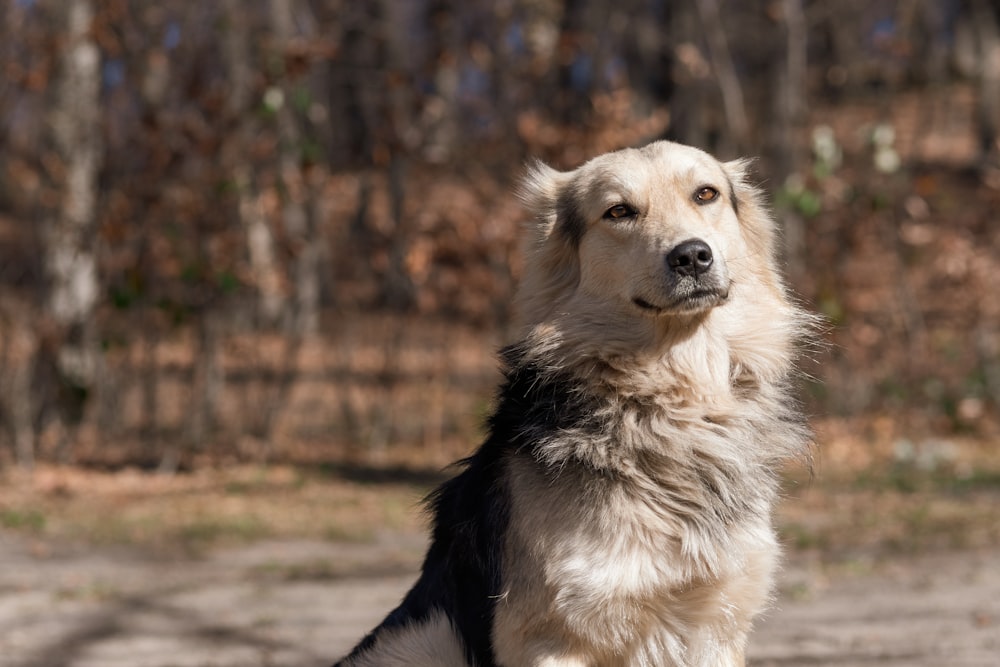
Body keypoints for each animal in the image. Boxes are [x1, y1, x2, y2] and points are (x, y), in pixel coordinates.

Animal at [336, 138, 812, 664]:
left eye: (705, 194)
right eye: (619, 211)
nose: (691, 256)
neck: (671, 398)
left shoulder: (717, 623)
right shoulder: (551, 634)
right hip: (423, 636)